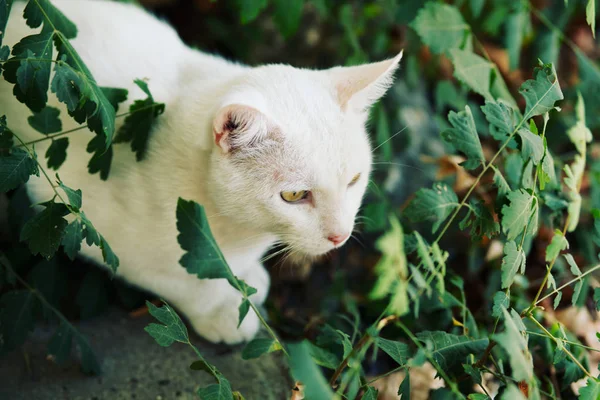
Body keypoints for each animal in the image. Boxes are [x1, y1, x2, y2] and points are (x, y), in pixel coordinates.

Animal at [2, 0, 404, 344]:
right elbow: (176, 278)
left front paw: (245, 278)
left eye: (354, 181)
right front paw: (223, 310)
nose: (340, 236)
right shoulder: (73, 211)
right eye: (293, 195)